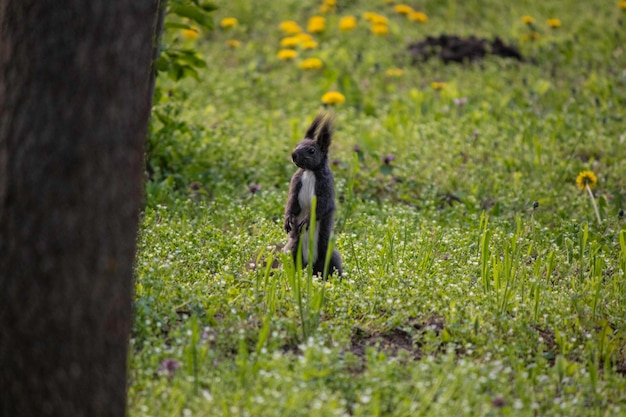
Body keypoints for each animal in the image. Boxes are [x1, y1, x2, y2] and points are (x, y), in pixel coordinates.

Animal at [282, 112, 342, 278]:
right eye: (297, 144)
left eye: (312, 151)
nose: (293, 154)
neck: (309, 172)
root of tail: (311, 266)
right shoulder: (296, 183)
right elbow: (291, 202)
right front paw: (288, 219)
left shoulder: (325, 188)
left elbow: (322, 206)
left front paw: (306, 221)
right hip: (293, 252)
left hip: (329, 257)